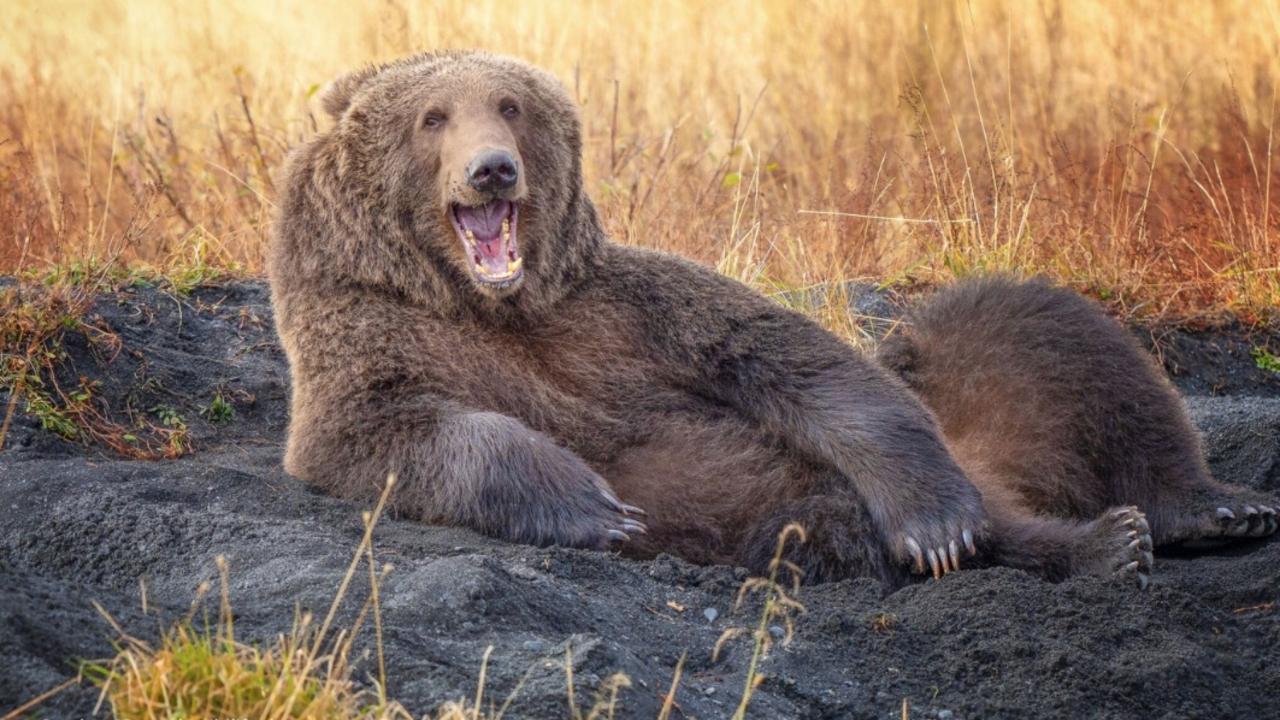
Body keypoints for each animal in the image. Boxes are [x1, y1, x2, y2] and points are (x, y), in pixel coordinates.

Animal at [270, 51, 1162, 589]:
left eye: (510, 105)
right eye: (432, 117)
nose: (493, 170)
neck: (488, 299)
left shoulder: (624, 311)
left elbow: (800, 361)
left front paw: (937, 523)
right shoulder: (371, 335)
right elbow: (385, 433)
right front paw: (597, 504)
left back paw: (1112, 538)